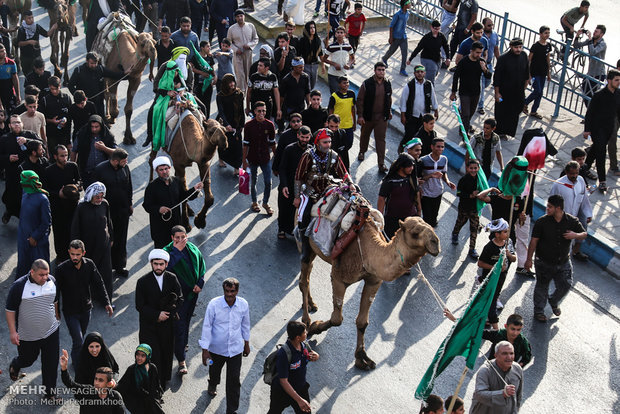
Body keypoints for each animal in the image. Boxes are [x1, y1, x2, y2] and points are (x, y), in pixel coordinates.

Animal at [94, 12, 159, 144]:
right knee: (105, 93)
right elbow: (115, 108)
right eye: (142, 43)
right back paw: (107, 116)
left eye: (155, 42)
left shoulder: (135, 79)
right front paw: (111, 119)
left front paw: (129, 137)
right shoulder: (113, 78)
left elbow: (129, 110)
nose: (153, 51)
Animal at [302, 215, 440, 370]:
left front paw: (361, 358)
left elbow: (362, 322)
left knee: (307, 273)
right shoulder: (338, 278)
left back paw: (311, 304)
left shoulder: (373, 281)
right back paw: (306, 320)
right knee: (304, 280)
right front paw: (314, 327)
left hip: (313, 249)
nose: (436, 243)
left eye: (431, 227)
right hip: (304, 239)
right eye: (415, 232)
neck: (369, 252)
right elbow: (337, 319)